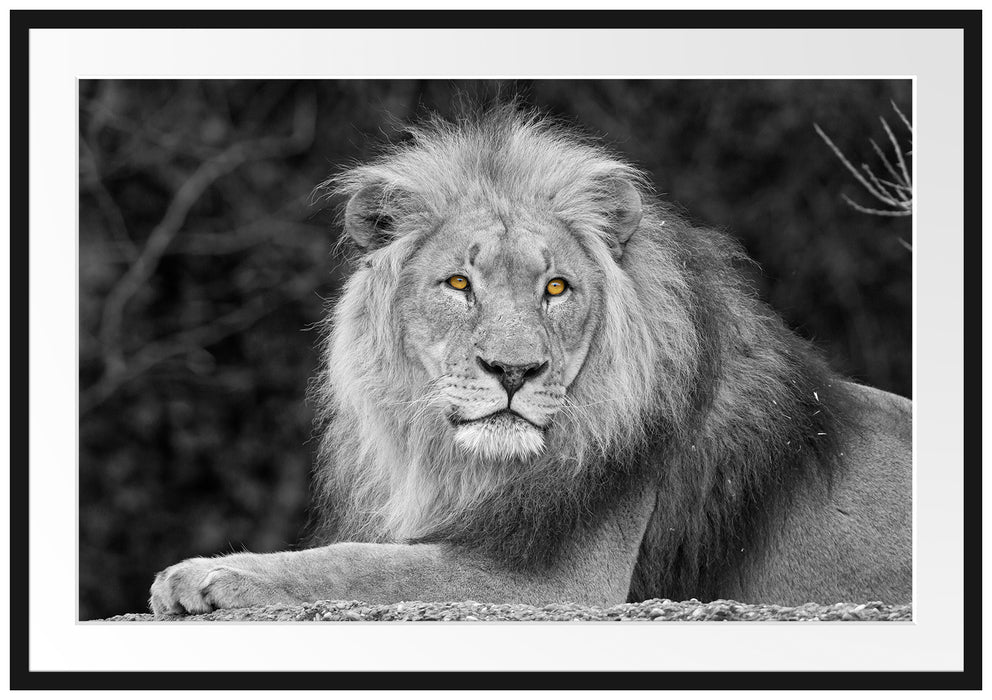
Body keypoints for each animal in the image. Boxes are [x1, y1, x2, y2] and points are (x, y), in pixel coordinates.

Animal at [149, 105, 911, 616]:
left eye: (556, 288)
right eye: (459, 283)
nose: (514, 373)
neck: (464, 466)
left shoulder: (557, 581)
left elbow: (361, 565)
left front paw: (212, 574)